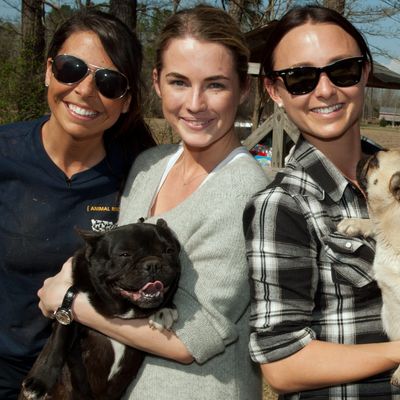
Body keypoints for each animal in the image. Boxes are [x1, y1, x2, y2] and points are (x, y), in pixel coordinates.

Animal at [19, 219, 181, 400]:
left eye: (169, 250)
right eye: (124, 254)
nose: (153, 263)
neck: (122, 309)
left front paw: (164, 309)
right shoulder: (67, 314)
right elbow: (58, 346)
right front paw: (40, 381)